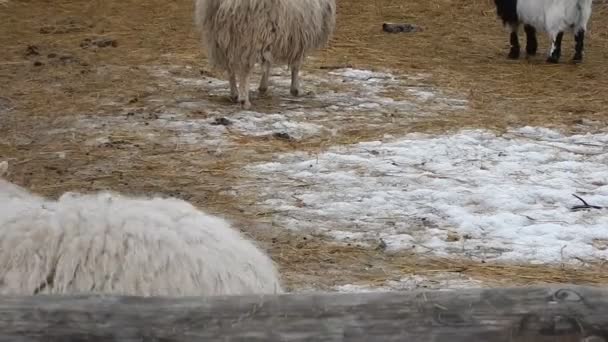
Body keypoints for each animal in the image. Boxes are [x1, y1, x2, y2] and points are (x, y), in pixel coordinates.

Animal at [195, 0, 338, 108]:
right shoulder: (300, 37)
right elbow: (296, 66)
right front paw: (295, 90)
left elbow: (267, 63)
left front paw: (263, 87)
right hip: (250, 32)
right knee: (245, 70)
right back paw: (244, 100)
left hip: (219, 35)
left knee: (230, 68)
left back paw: (234, 94)